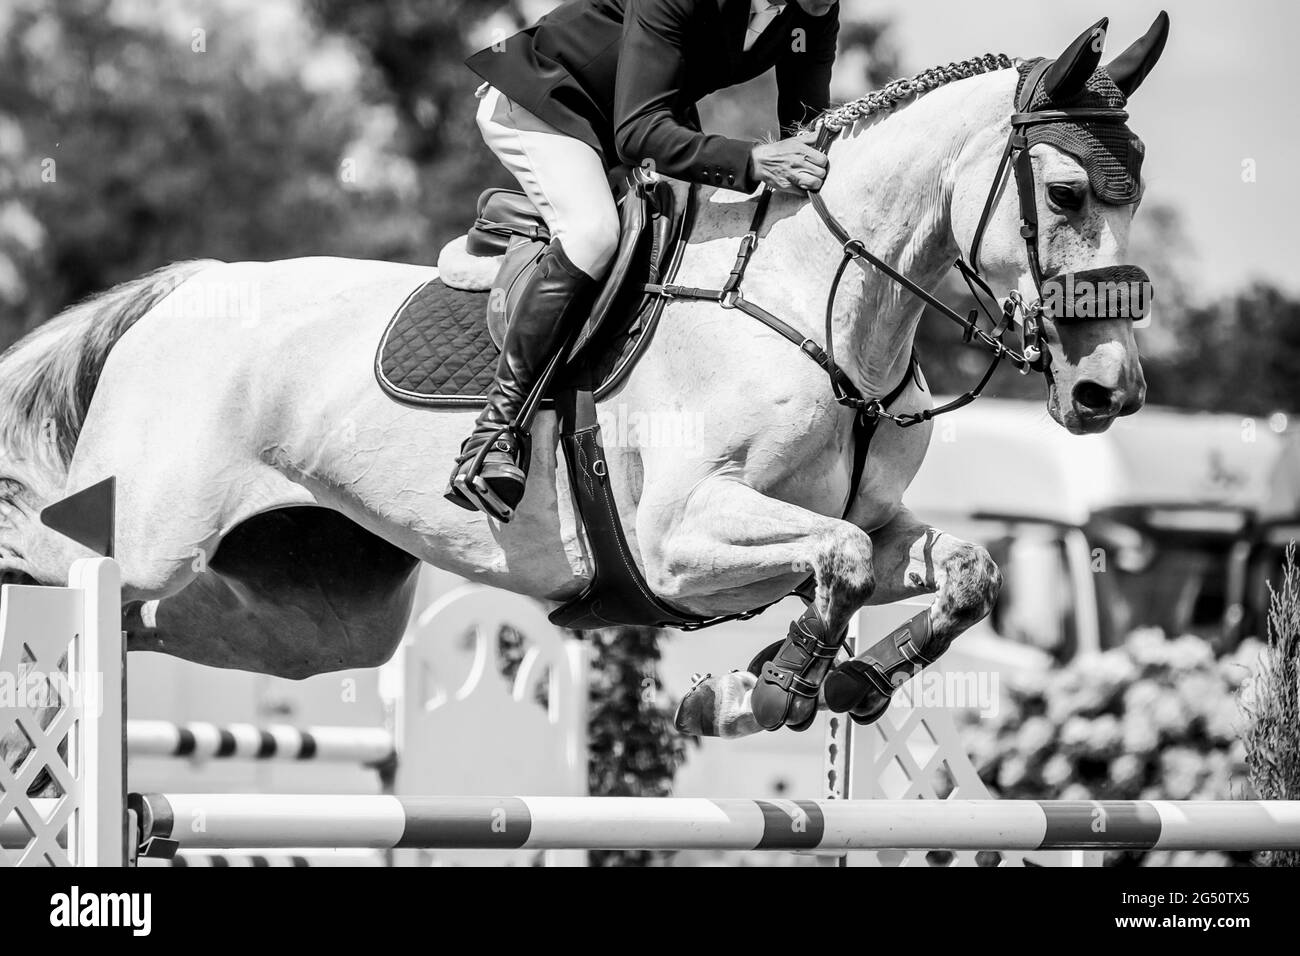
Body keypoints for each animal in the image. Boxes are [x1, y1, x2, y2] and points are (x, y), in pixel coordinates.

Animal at [1, 14, 1165, 783]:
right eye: (1066, 193)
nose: (1107, 389)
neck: (816, 304)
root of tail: (179, 291)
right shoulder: (678, 536)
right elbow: (830, 556)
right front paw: (770, 686)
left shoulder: (876, 526)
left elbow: (960, 570)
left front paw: (835, 684)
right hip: (150, 529)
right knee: (67, 574)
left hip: (317, 617)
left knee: (159, 624)